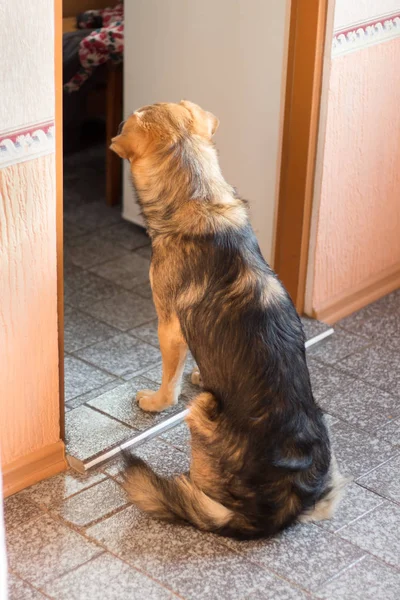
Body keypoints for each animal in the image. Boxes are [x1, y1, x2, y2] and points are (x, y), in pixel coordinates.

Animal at [111, 102, 346, 540]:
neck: (199, 198)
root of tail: (275, 510)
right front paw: (201, 372)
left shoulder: (169, 326)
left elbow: (169, 385)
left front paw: (154, 402)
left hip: (200, 410)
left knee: (202, 493)